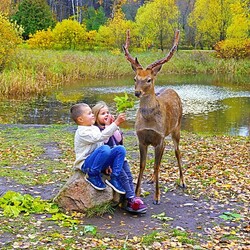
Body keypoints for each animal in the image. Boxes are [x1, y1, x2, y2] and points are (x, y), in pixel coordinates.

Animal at [123, 30, 186, 204]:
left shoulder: (159, 137)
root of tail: (172, 89)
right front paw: (136, 193)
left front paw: (157, 197)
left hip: (176, 128)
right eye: (135, 78)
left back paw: (183, 181)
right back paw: (152, 178)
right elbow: (142, 165)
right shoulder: (142, 139)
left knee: (177, 152)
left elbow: (157, 165)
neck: (149, 122)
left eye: (149, 79)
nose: (137, 92)